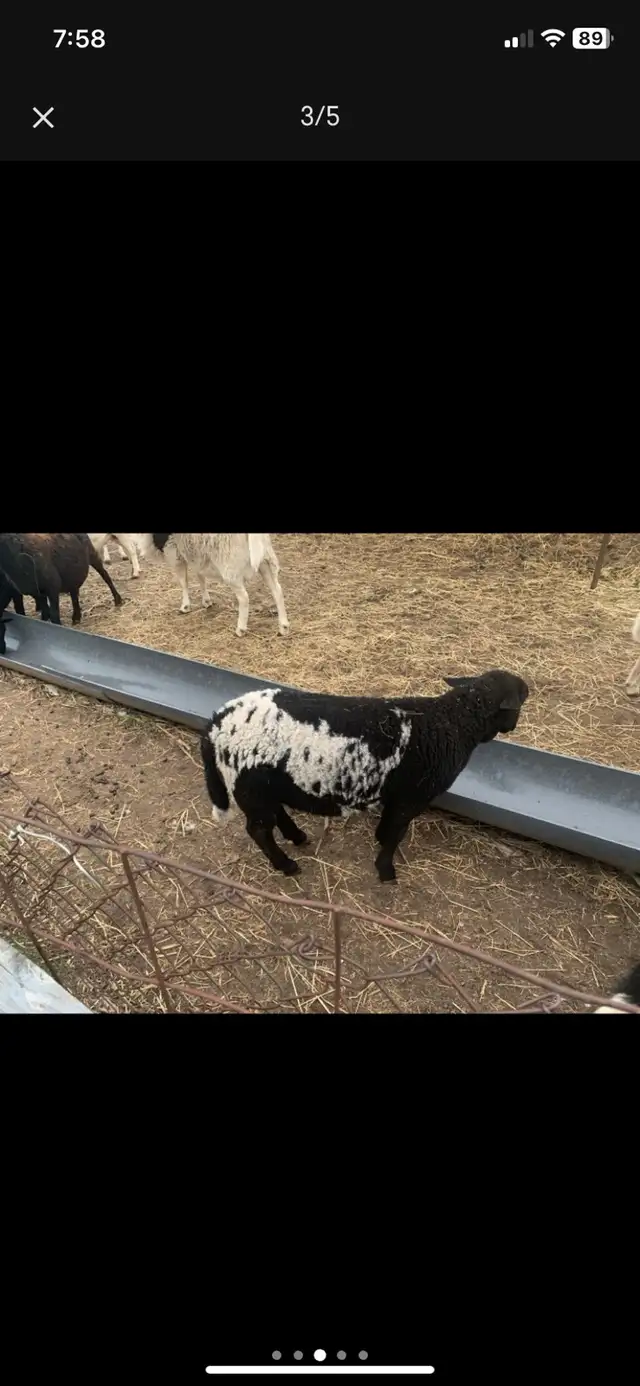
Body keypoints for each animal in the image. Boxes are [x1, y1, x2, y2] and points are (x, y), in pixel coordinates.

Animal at [135, 533, 289, 636]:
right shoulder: (197, 555)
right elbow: (201, 577)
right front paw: (206, 601)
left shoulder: (174, 552)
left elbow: (183, 581)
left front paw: (185, 606)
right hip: (265, 561)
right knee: (277, 590)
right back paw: (284, 626)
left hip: (231, 569)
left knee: (244, 598)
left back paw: (240, 629)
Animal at [200, 668, 529, 881]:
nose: (512, 726)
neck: (452, 723)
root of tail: (215, 723)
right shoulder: (411, 797)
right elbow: (396, 833)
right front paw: (386, 871)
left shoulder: (397, 797)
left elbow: (389, 828)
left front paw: (379, 843)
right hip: (248, 786)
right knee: (259, 830)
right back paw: (287, 866)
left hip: (263, 785)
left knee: (276, 812)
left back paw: (298, 837)